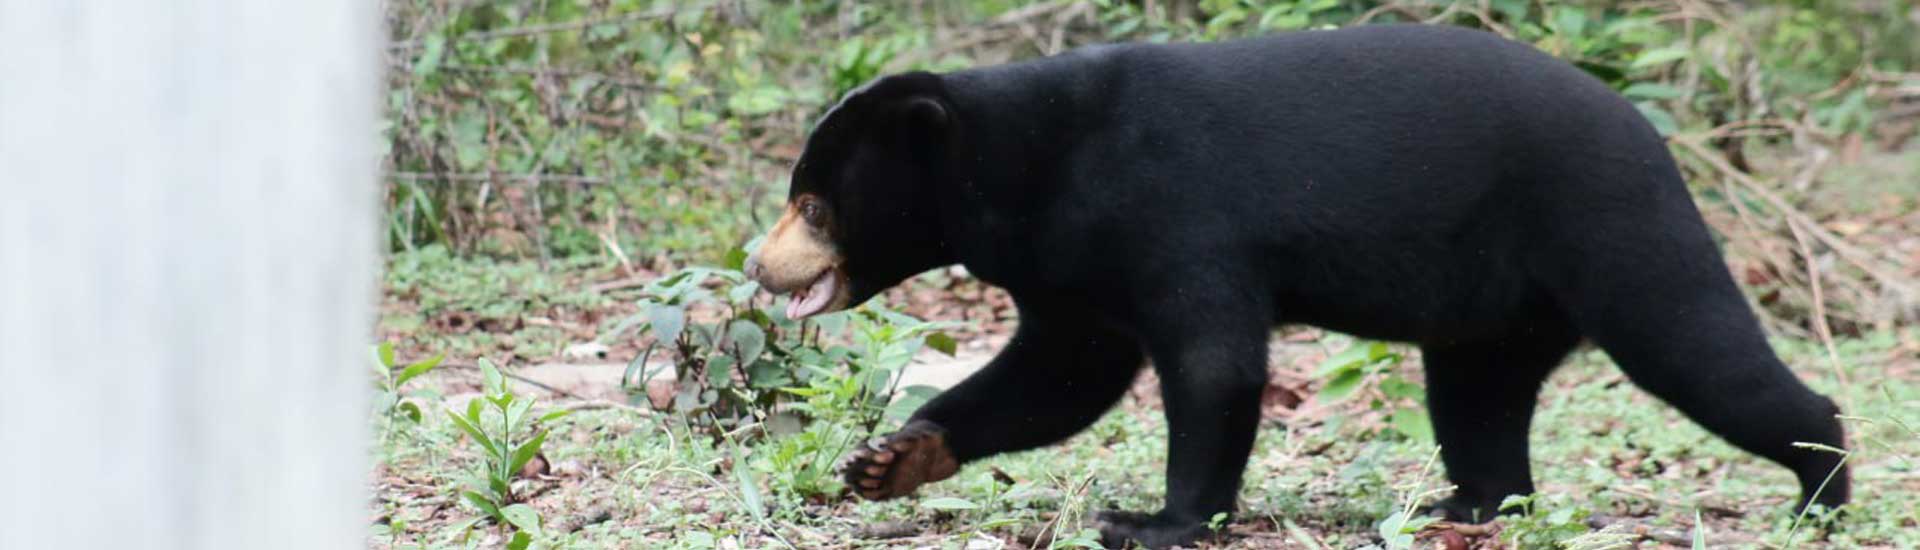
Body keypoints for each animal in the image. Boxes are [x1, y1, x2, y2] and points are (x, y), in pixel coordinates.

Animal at [743, 23, 1849, 549]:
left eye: (813, 203)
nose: (757, 265)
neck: (1029, 172)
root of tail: (1650, 134)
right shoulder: (1074, 263)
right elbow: (1061, 375)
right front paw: (889, 459)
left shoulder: (1174, 211)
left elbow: (1212, 362)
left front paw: (1156, 521)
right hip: (1494, 302)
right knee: (1479, 398)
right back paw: (1468, 502)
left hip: (1609, 225)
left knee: (1698, 348)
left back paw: (1822, 485)